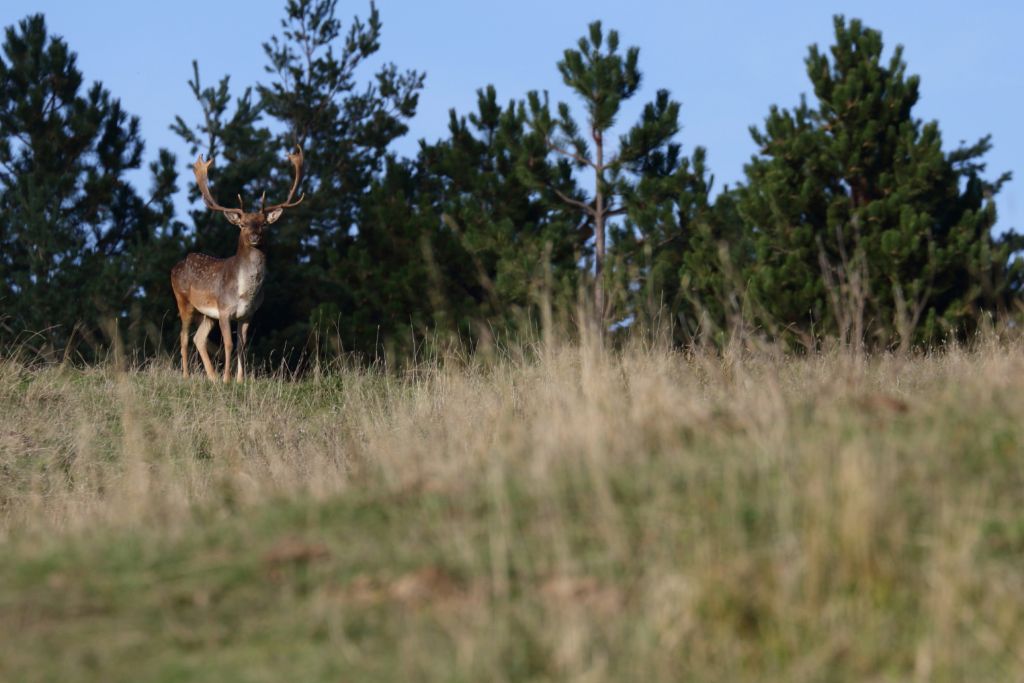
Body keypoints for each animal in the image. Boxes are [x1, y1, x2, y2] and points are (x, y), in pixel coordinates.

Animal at [167, 147, 301, 382]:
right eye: (243, 224)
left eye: (263, 224)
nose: (255, 236)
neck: (245, 292)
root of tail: (176, 266)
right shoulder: (224, 309)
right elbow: (229, 344)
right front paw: (227, 379)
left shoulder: (248, 314)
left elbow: (242, 346)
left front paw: (239, 379)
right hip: (184, 300)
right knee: (183, 337)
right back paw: (186, 375)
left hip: (207, 314)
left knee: (198, 338)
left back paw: (211, 377)